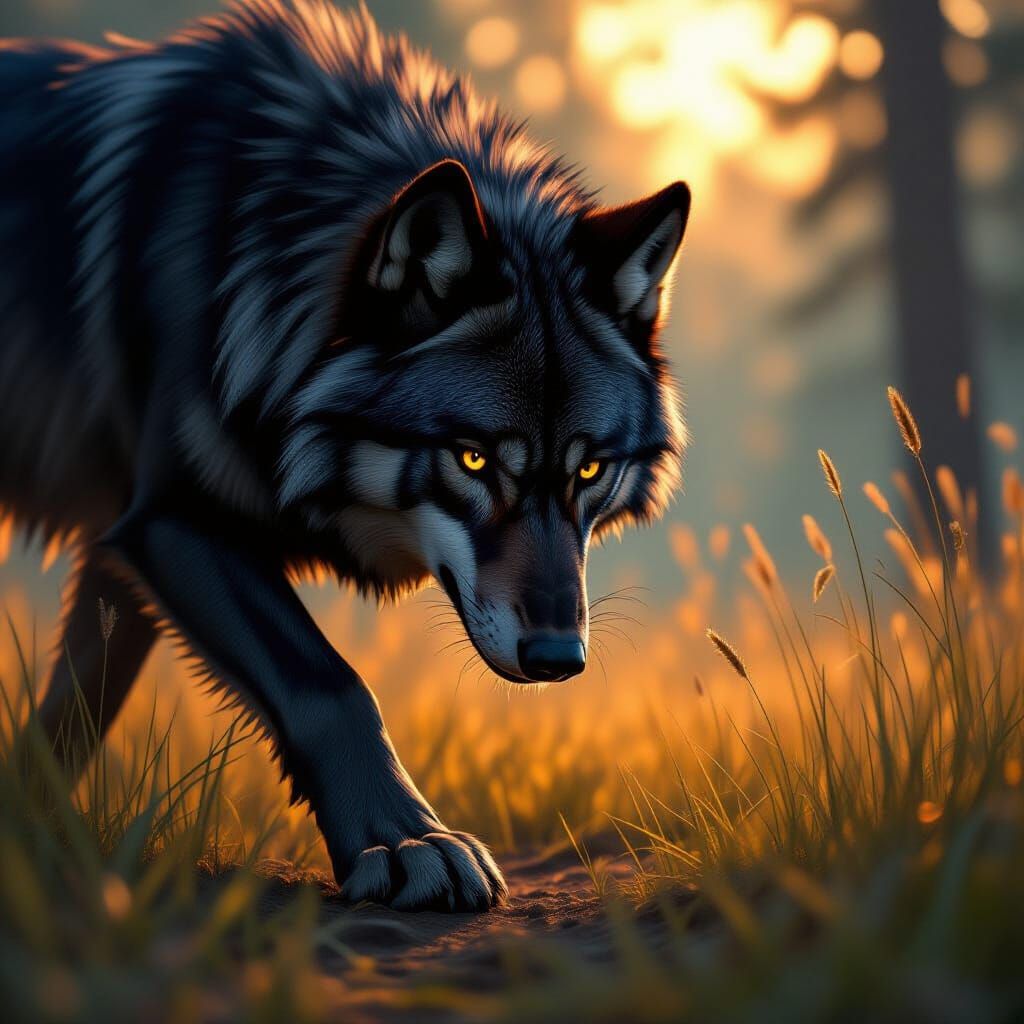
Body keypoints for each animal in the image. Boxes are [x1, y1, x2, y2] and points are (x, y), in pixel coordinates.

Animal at [0, 0, 689, 910]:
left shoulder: (124, 549)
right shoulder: (172, 522)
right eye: (473, 461)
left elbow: (71, 717)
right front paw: (406, 841)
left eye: (588, 470)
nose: (557, 660)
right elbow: (331, 684)